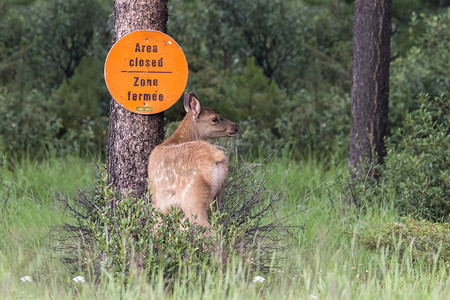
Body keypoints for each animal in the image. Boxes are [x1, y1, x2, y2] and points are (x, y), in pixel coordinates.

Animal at [148, 91, 239, 227]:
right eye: (215, 118)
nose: (236, 126)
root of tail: (216, 158)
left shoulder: (157, 199)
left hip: (192, 196)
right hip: (217, 196)